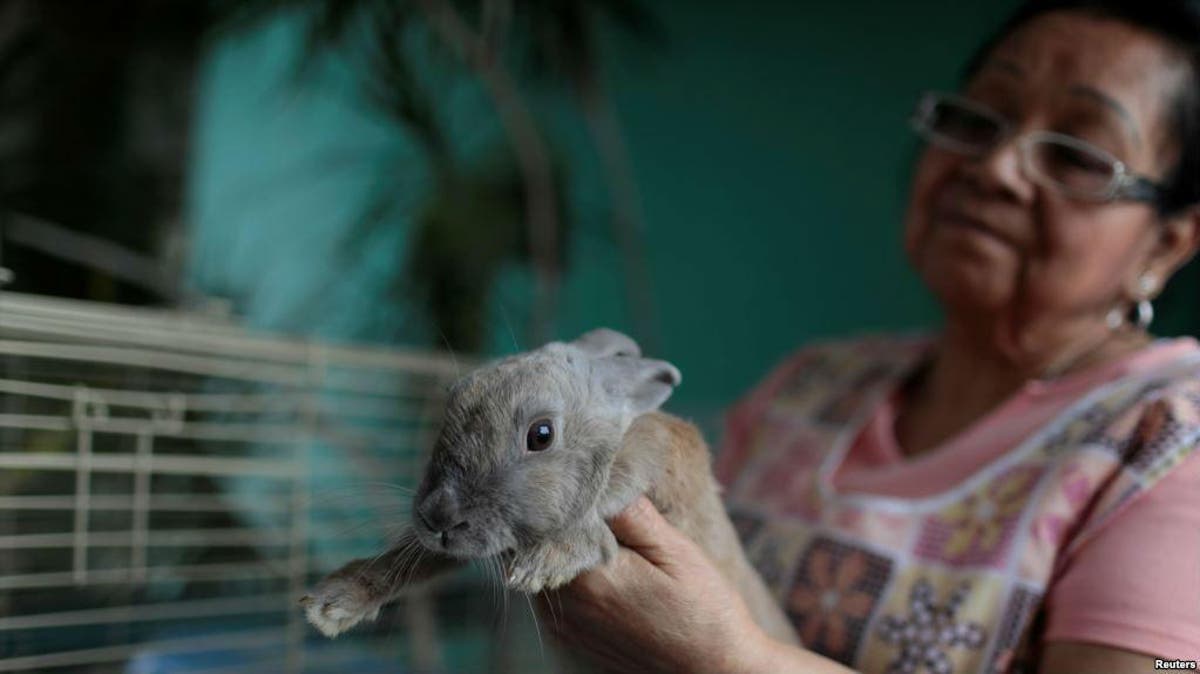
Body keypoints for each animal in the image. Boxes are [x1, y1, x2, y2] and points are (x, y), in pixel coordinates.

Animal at [301, 328, 798, 647]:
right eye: (452, 400)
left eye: (541, 435)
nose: (437, 517)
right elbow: (421, 558)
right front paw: (332, 604)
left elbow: (627, 463)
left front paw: (548, 560)